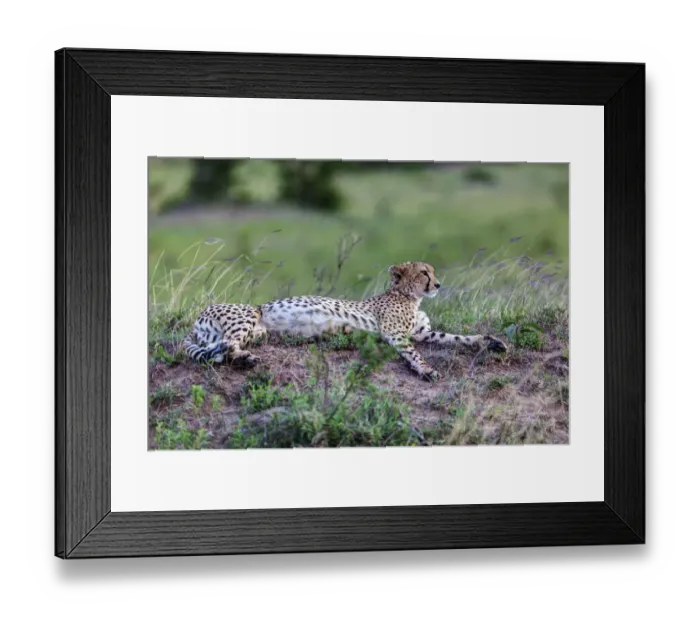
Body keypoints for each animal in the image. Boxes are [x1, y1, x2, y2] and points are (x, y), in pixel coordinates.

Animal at [182, 261, 507, 381]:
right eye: (424, 273)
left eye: (433, 272)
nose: (438, 284)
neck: (410, 297)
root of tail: (198, 317)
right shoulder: (396, 335)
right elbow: (414, 354)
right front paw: (426, 370)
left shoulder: (423, 333)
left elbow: (457, 337)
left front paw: (491, 341)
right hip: (249, 316)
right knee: (224, 347)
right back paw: (245, 359)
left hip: (255, 332)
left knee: (220, 349)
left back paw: (244, 358)